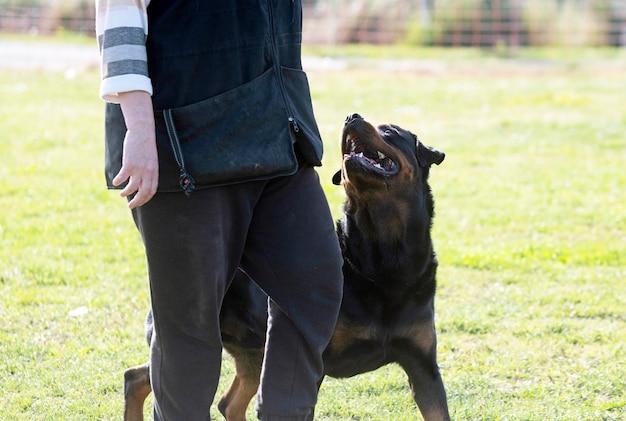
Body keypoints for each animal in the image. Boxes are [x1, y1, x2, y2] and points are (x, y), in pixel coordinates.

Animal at [122, 115, 446, 420]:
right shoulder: (314, 365)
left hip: (256, 351)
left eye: (390, 131)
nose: (351, 117)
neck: (385, 261)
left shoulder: (424, 367)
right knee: (137, 378)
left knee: (229, 402)